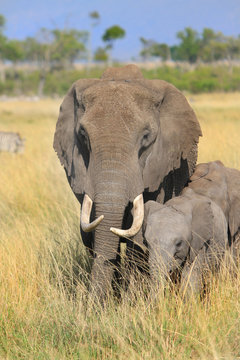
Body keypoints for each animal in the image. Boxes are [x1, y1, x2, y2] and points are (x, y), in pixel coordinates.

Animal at [53, 64, 202, 298]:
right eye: (83, 135)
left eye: (146, 136)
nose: (92, 304)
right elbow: (98, 228)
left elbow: (138, 235)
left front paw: (132, 297)